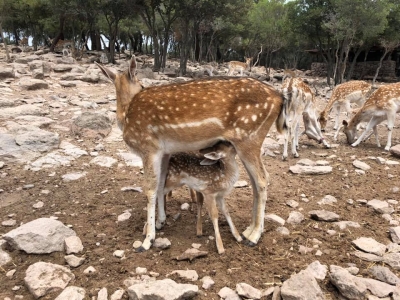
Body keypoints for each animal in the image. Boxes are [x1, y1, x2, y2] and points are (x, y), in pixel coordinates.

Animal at [97, 55, 288, 251]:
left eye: (142, 84)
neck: (126, 114)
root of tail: (280, 97)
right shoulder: (165, 152)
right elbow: (161, 184)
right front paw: (160, 222)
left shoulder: (149, 147)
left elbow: (150, 188)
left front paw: (148, 239)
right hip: (248, 143)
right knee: (255, 181)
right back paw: (248, 230)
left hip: (249, 139)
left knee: (262, 179)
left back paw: (254, 236)